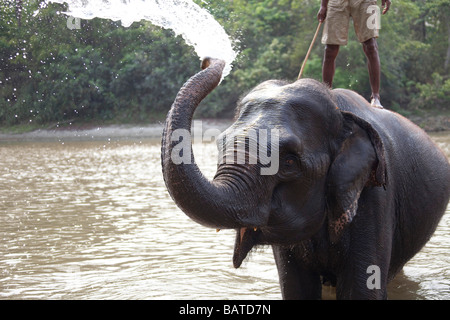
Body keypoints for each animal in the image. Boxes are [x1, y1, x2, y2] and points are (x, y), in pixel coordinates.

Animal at [162, 58, 450, 300]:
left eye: (289, 162)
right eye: (221, 143)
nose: (209, 60)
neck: (340, 112)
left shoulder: (374, 198)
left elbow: (363, 289)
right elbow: (296, 289)